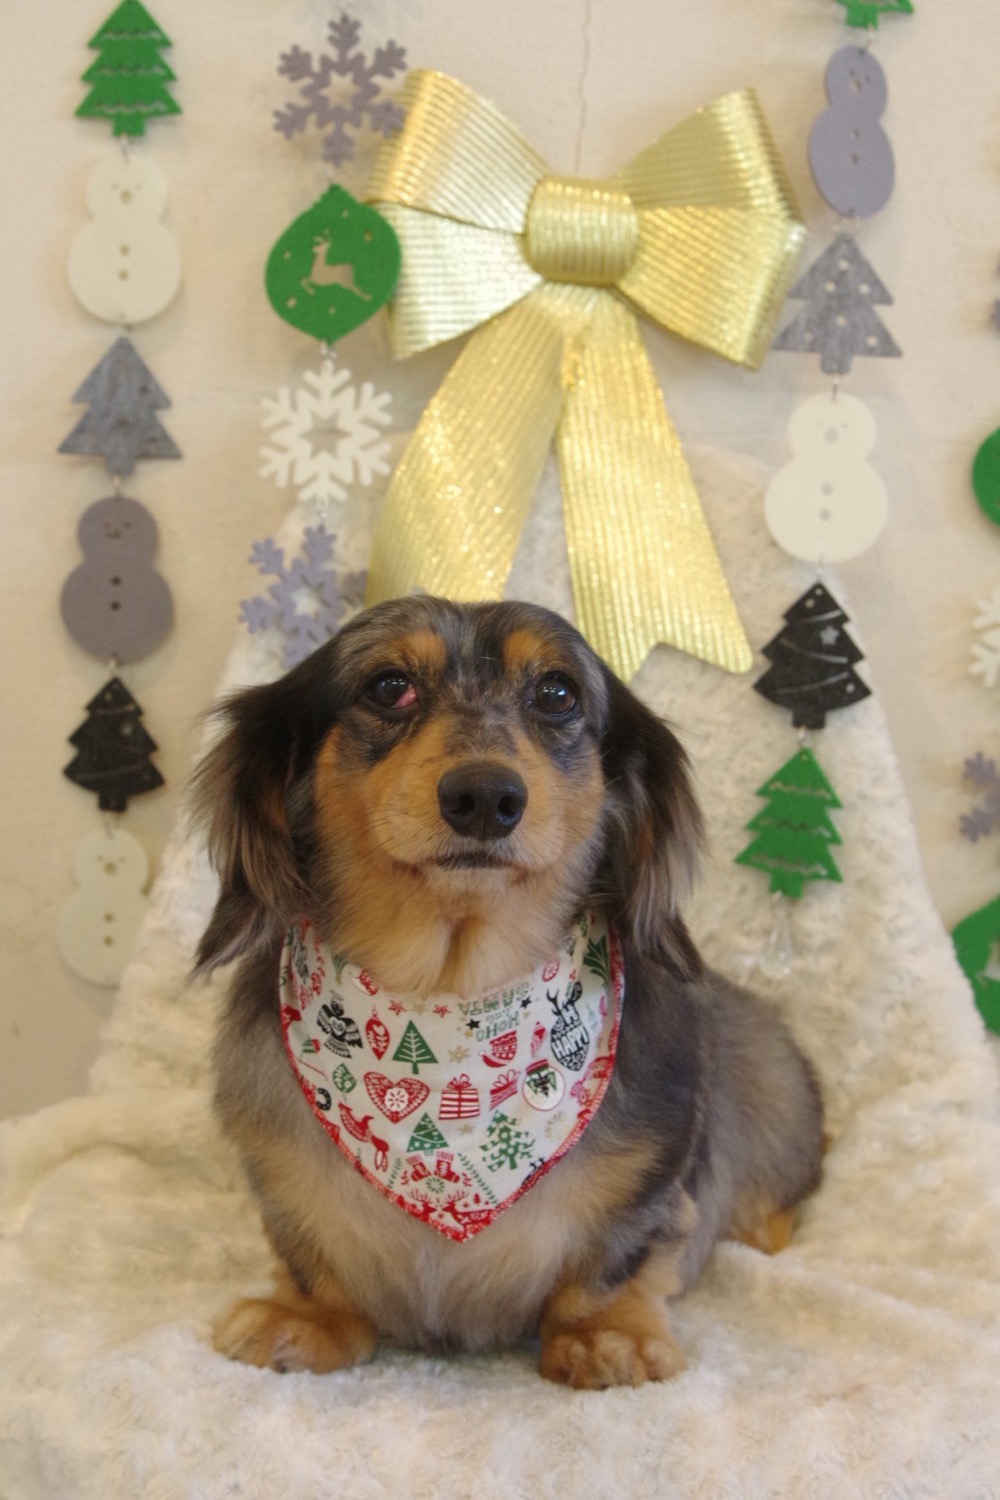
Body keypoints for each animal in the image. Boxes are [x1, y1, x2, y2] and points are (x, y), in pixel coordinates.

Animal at [193, 595, 823, 1389]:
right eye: (388, 686)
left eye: (557, 693)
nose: (485, 796)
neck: (455, 1001)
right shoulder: (282, 1182)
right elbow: (309, 1253)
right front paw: (306, 1317)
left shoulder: (654, 1175)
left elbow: (620, 1254)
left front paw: (605, 1335)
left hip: (766, 1070)